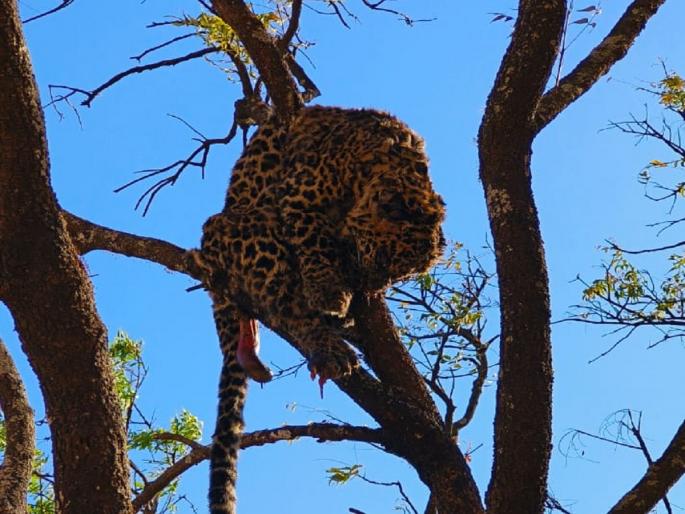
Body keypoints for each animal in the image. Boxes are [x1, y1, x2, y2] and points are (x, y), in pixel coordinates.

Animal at [189, 105, 446, 514]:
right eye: (384, 259)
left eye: (399, 277)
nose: (368, 288)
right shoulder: (299, 196)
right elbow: (313, 237)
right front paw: (328, 290)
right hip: (247, 229)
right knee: (287, 303)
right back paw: (331, 342)